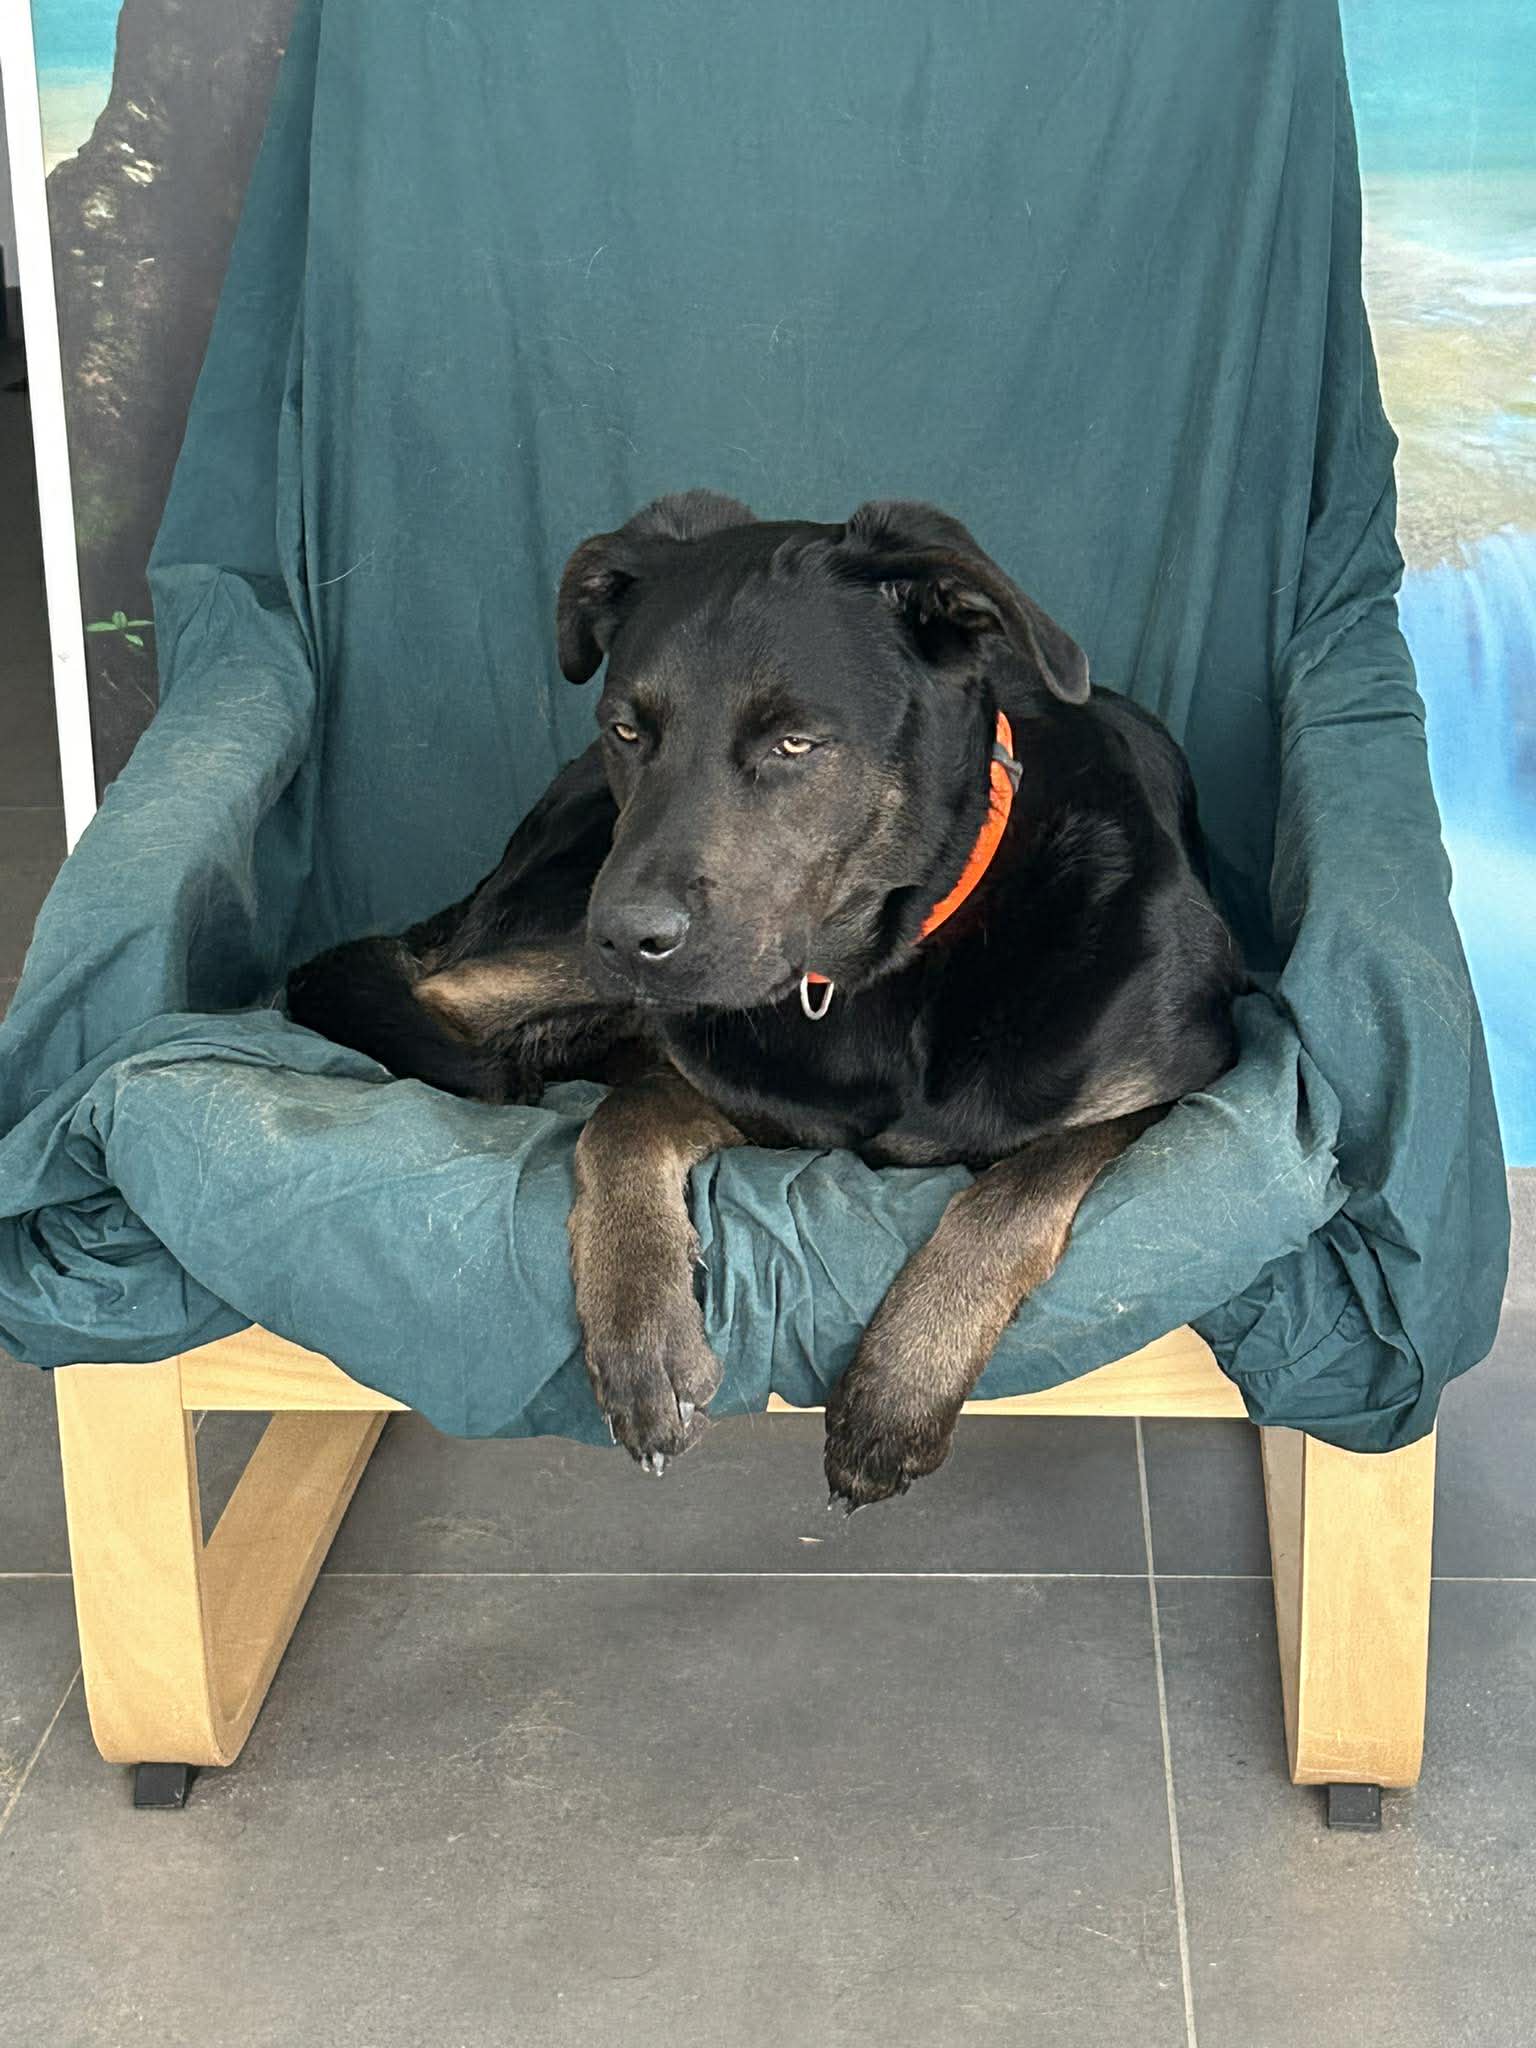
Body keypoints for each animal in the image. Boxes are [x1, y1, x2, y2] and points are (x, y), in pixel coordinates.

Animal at [287, 492, 1242, 1507]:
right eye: (629, 730)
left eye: (794, 743)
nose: (622, 937)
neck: (884, 968)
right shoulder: (739, 1089)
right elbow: (616, 1125)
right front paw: (640, 1322)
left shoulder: (1172, 1086)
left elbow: (1014, 1190)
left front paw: (899, 1389)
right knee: (436, 996)